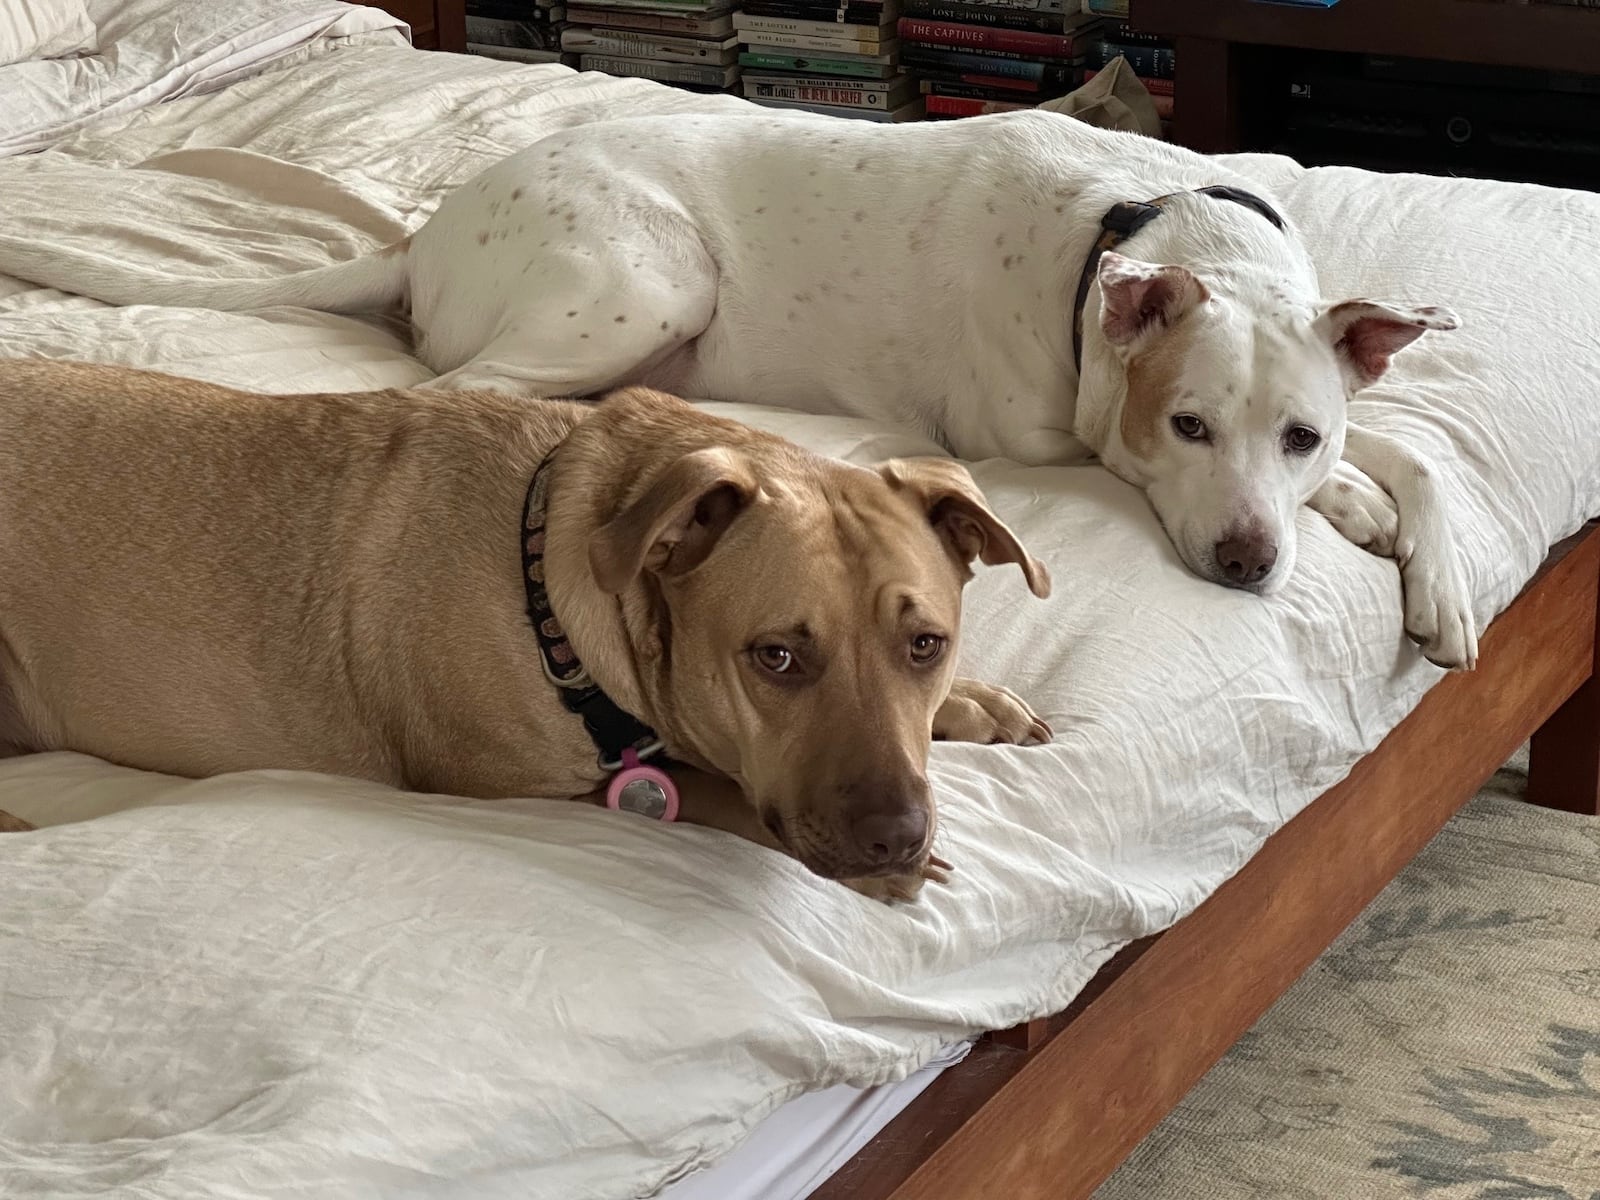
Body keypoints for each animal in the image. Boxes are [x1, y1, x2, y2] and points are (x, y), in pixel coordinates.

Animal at [0, 110, 1472, 668]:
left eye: (1297, 430)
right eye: (1185, 425)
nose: (1245, 562)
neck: (1140, 228)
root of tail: (426, 232)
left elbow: (1415, 450)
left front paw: (1430, 570)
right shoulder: (1058, 442)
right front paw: (1359, 516)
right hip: (650, 275)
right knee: (476, 390)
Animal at [0, 361, 1049, 896]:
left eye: (926, 645)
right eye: (776, 658)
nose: (896, 837)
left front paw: (975, 704)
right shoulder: (522, 788)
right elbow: (718, 793)